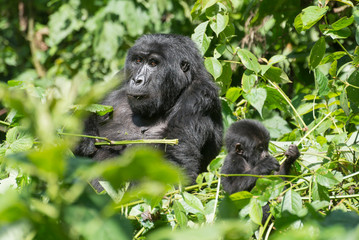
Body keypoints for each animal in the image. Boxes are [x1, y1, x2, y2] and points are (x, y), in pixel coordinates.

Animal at [75, 33, 224, 184]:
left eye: (153, 63)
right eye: (138, 60)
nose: (137, 80)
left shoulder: (199, 94)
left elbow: (175, 167)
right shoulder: (121, 76)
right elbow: (88, 108)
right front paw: (83, 137)